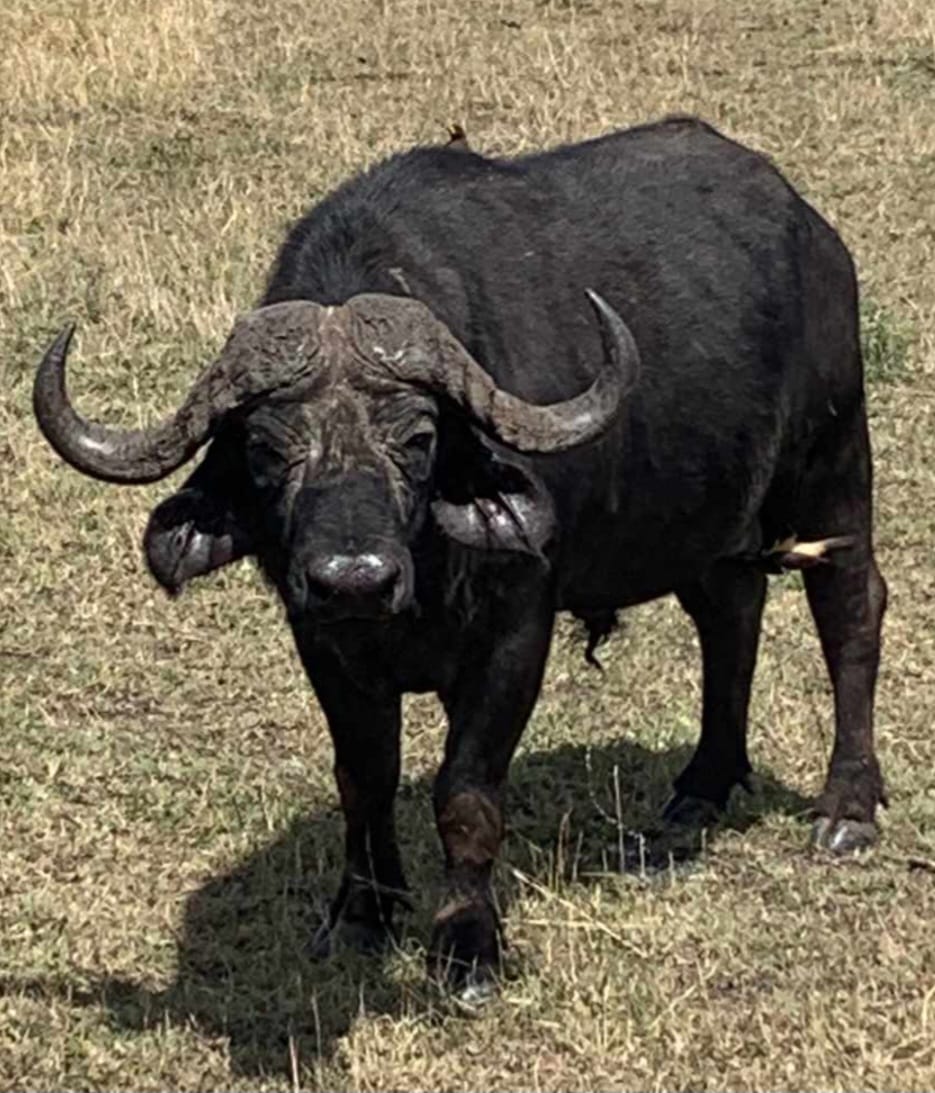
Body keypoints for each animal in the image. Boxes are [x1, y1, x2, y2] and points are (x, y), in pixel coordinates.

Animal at [33, 116, 887, 1002]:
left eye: (418, 438)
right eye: (267, 448)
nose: (354, 579)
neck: (420, 576)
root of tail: (813, 232)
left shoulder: (512, 636)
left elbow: (465, 792)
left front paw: (468, 943)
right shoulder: (324, 643)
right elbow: (363, 776)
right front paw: (361, 912)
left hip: (830, 460)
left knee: (850, 608)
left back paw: (844, 808)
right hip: (711, 520)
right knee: (731, 612)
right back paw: (699, 789)